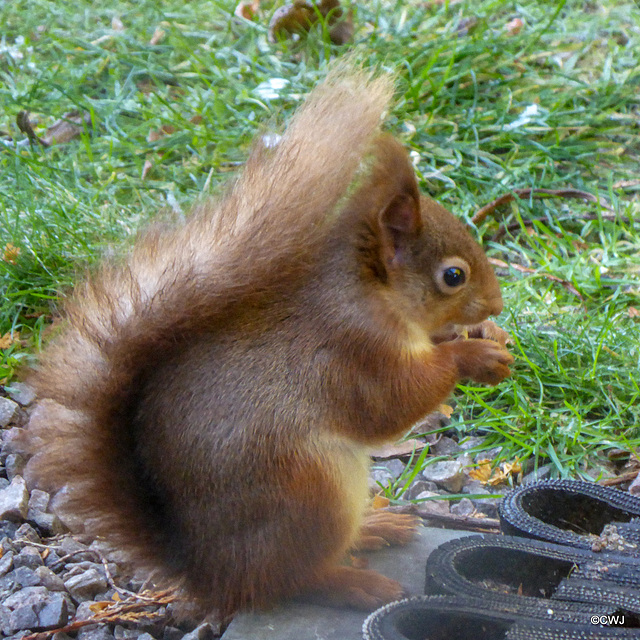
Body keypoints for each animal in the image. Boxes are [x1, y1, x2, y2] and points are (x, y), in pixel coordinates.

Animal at [26, 67, 516, 616]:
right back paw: (354, 582)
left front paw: (485, 334)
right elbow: (391, 403)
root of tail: (214, 575)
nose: (496, 305)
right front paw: (471, 355)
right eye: (453, 275)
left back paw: (375, 527)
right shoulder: (353, 347)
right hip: (310, 492)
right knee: (293, 580)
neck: (373, 294)